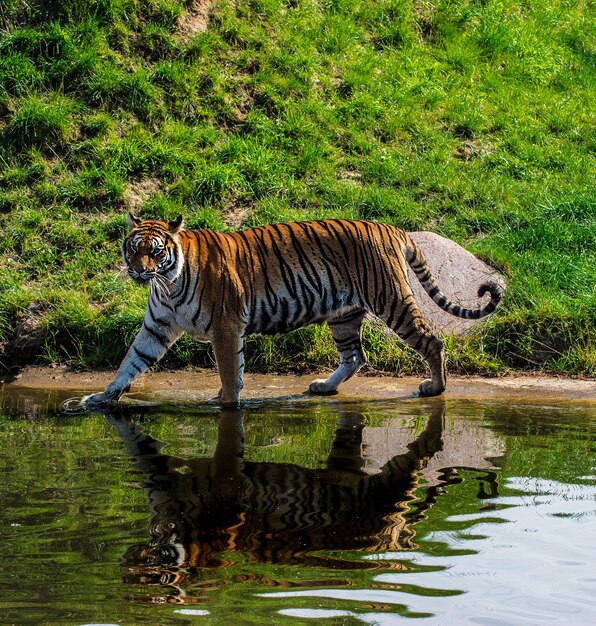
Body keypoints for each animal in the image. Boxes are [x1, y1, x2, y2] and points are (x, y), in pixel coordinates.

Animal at [84, 212, 500, 404]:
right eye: (133, 247)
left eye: (155, 252)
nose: (139, 271)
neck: (167, 283)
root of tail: (391, 228)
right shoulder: (157, 326)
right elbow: (131, 361)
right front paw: (103, 396)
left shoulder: (225, 325)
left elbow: (229, 370)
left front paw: (226, 402)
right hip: (344, 315)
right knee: (355, 356)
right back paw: (324, 386)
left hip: (391, 299)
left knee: (431, 341)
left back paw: (435, 387)